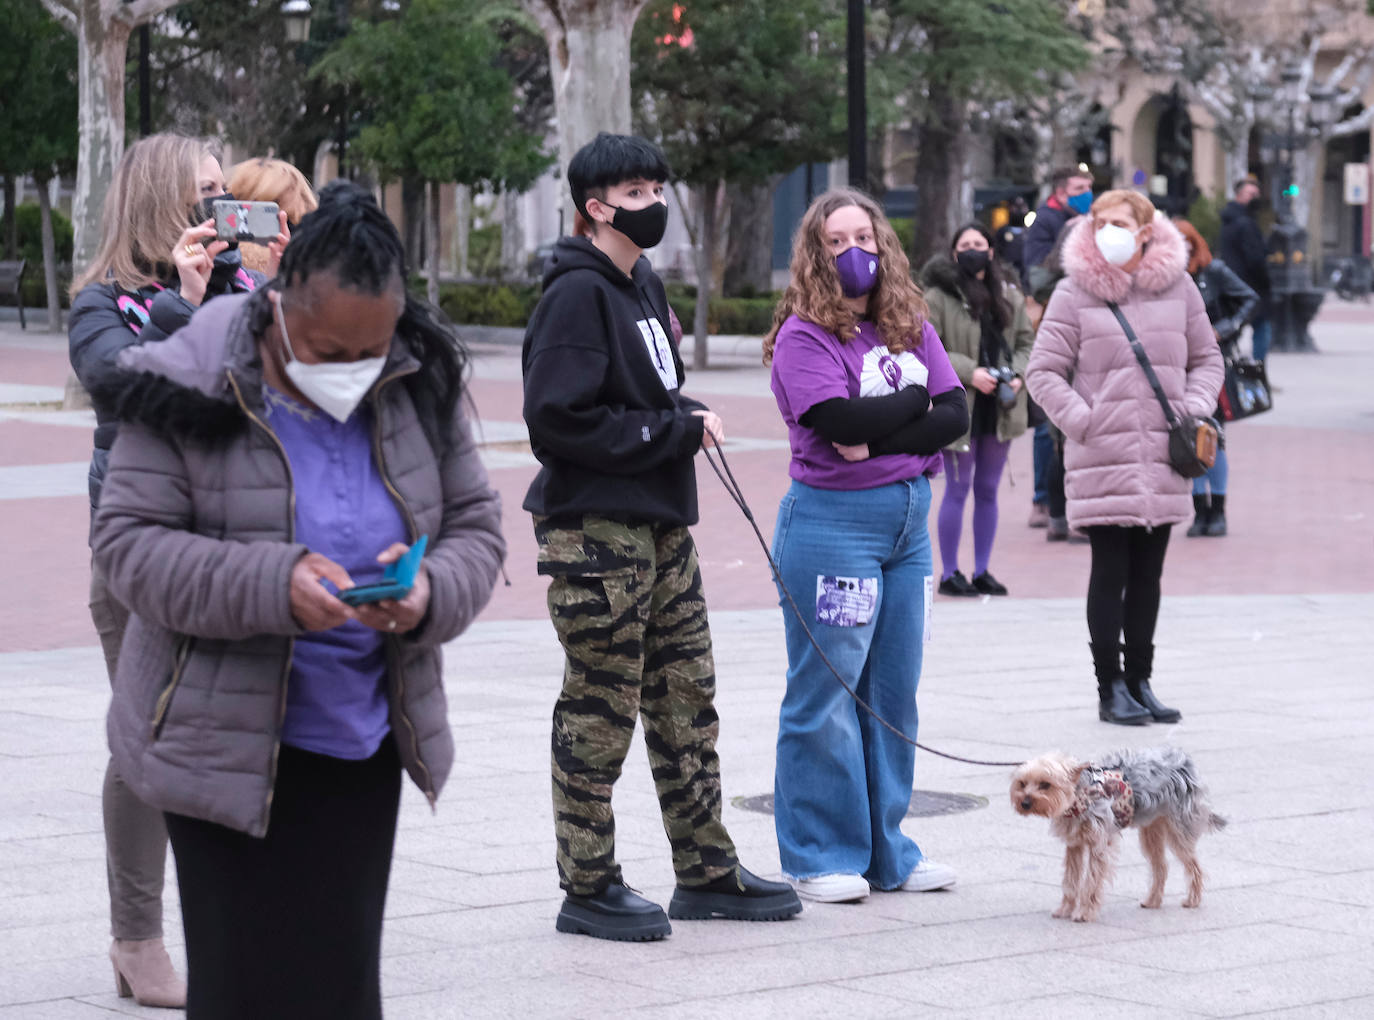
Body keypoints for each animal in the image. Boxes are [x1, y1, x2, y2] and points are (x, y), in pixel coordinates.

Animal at [1011, 747, 1225, 923]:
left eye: (1045, 785)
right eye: (1022, 784)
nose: (1025, 803)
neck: (1081, 796)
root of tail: (1186, 762)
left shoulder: (1099, 845)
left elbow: (1091, 882)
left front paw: (1084, 913)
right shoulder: (1074, 845)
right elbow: (1070, 880)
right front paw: (1065, 909)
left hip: (1178, 830)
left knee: (1194, 866)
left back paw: (1192, 900)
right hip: (1151, 829)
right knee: (1161, 866)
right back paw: (1152, 900)